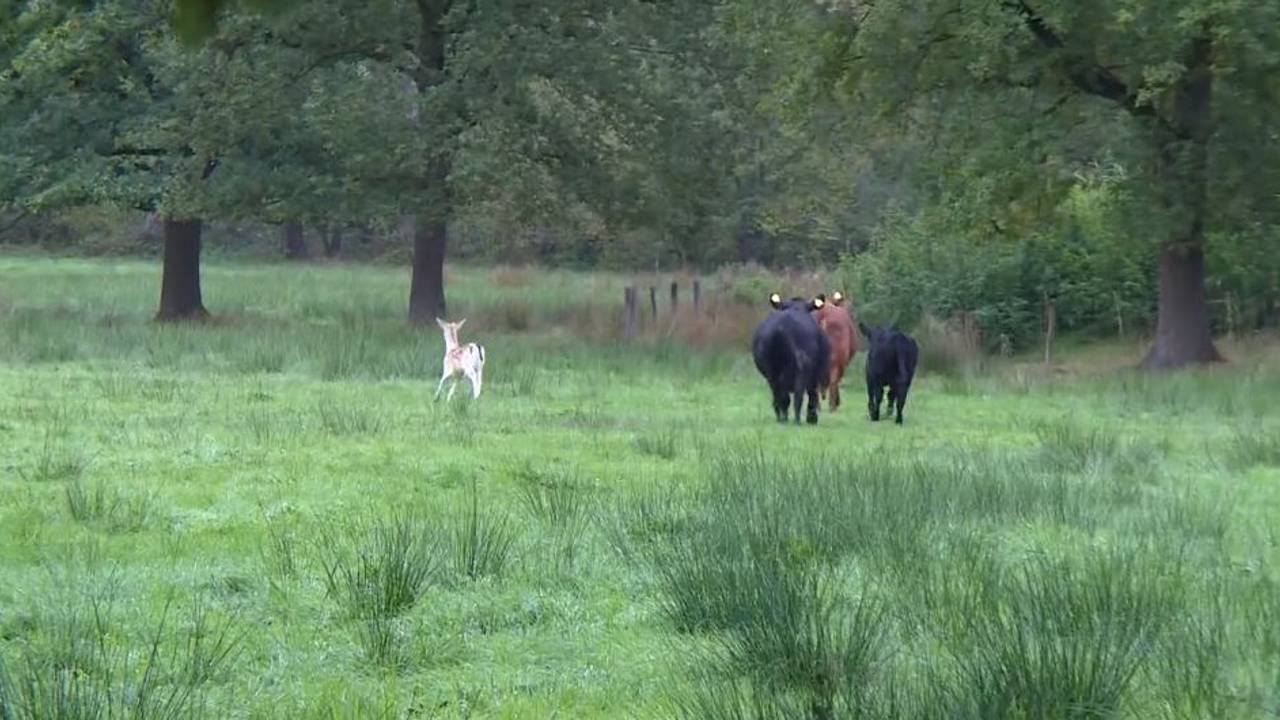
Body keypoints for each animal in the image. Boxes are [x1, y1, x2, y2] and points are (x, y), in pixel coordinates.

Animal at [752, 293, 831, 424]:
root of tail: (781, 328)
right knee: (796, 396)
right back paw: (796, 420)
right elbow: (811, 393)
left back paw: (783, 418)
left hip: (772, 372)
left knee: (780, 396)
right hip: (799, 369)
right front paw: (812, 418)